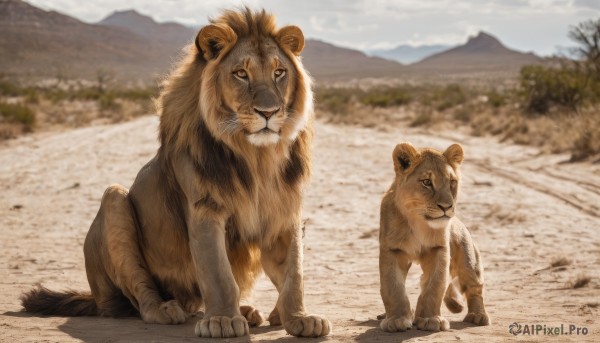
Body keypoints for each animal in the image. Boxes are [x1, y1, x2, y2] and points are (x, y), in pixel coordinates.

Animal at [21, 7, 330, 338]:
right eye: (241, 74)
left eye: (279, 72)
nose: (269, 113)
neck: (257, 156)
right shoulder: (205, 208)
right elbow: (219, 274)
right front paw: (222, 320)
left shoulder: (284, 213)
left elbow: (294, 274)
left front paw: (299, 317)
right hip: (114, 200)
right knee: (140, 297)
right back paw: (167, 309)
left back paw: (249, 311)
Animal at [380, 143, 488, 334]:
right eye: (426, 182)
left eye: (452, 182)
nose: (446, 207)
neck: (418, 222)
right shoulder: (392, 250)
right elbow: (393, 287)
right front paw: (396, 320)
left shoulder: (439, 249)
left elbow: (435, 286)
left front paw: (430, 319)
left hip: (468, 259)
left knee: (474, 288)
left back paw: (478, 316)